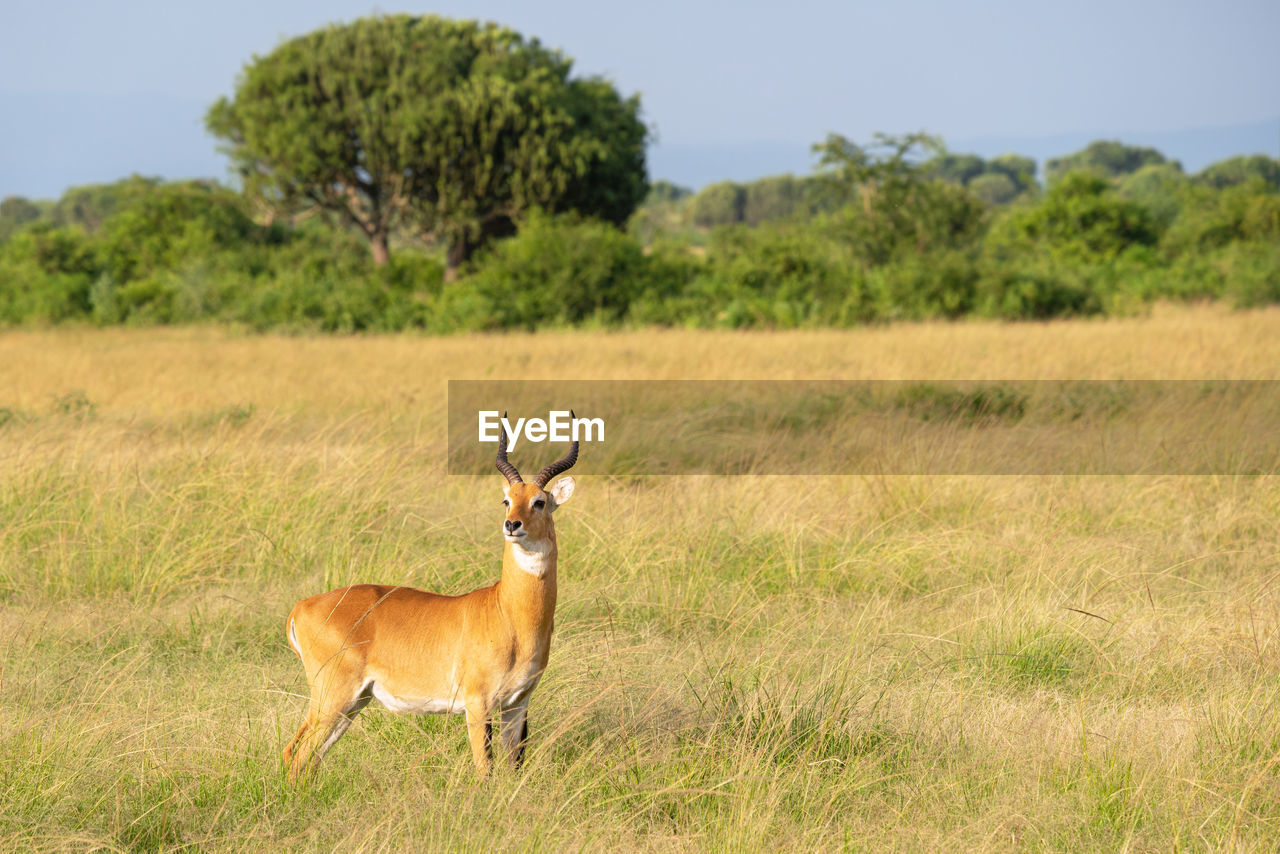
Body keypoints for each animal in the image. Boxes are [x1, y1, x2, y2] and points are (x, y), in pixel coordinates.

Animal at [285, 422, 581, 783]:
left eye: (539, 501)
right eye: (507, 500)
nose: (512, 525)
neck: (509, 614)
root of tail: (301, 606)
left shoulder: (517, 703)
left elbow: (514, 766)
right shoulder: (478, 702)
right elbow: (485, 769)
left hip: (352, 704)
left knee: (305, 755)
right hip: (334, 697)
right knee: (298, 754)